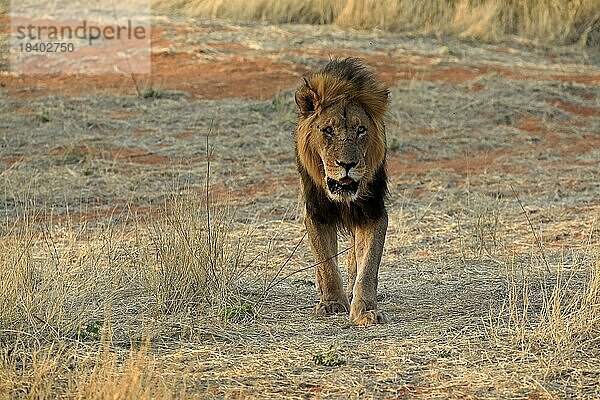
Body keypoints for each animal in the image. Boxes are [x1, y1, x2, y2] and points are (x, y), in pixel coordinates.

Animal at [294, 58, 390, 324]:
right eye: (328, 130)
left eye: (361, 130)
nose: (347, 164)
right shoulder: (316, 212)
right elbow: (325, 261)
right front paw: (332, 303)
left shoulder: (372, 211)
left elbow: (368, 265)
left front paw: (366, 310)